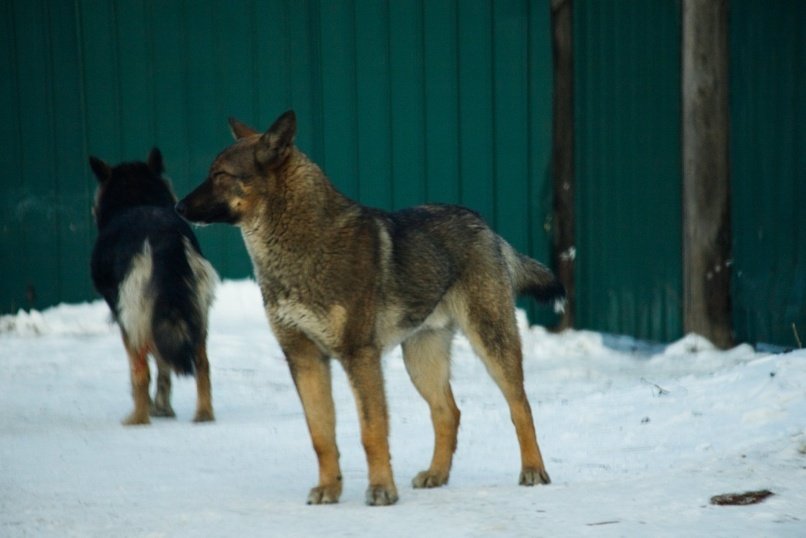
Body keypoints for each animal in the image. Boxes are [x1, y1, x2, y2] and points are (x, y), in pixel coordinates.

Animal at [179, 111, 564, 504]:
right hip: (421, 361)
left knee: (520, 406)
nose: (177, 206)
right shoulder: (304, 359)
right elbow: (321, 435)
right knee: (448, 413)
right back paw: (436, 474)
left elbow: (371, 431)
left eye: (220, 175)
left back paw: (533, 470)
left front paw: (381, 489)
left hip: (491, 343)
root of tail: (484, 225)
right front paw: (329, 489)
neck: (299, 249)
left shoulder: (359, 356)